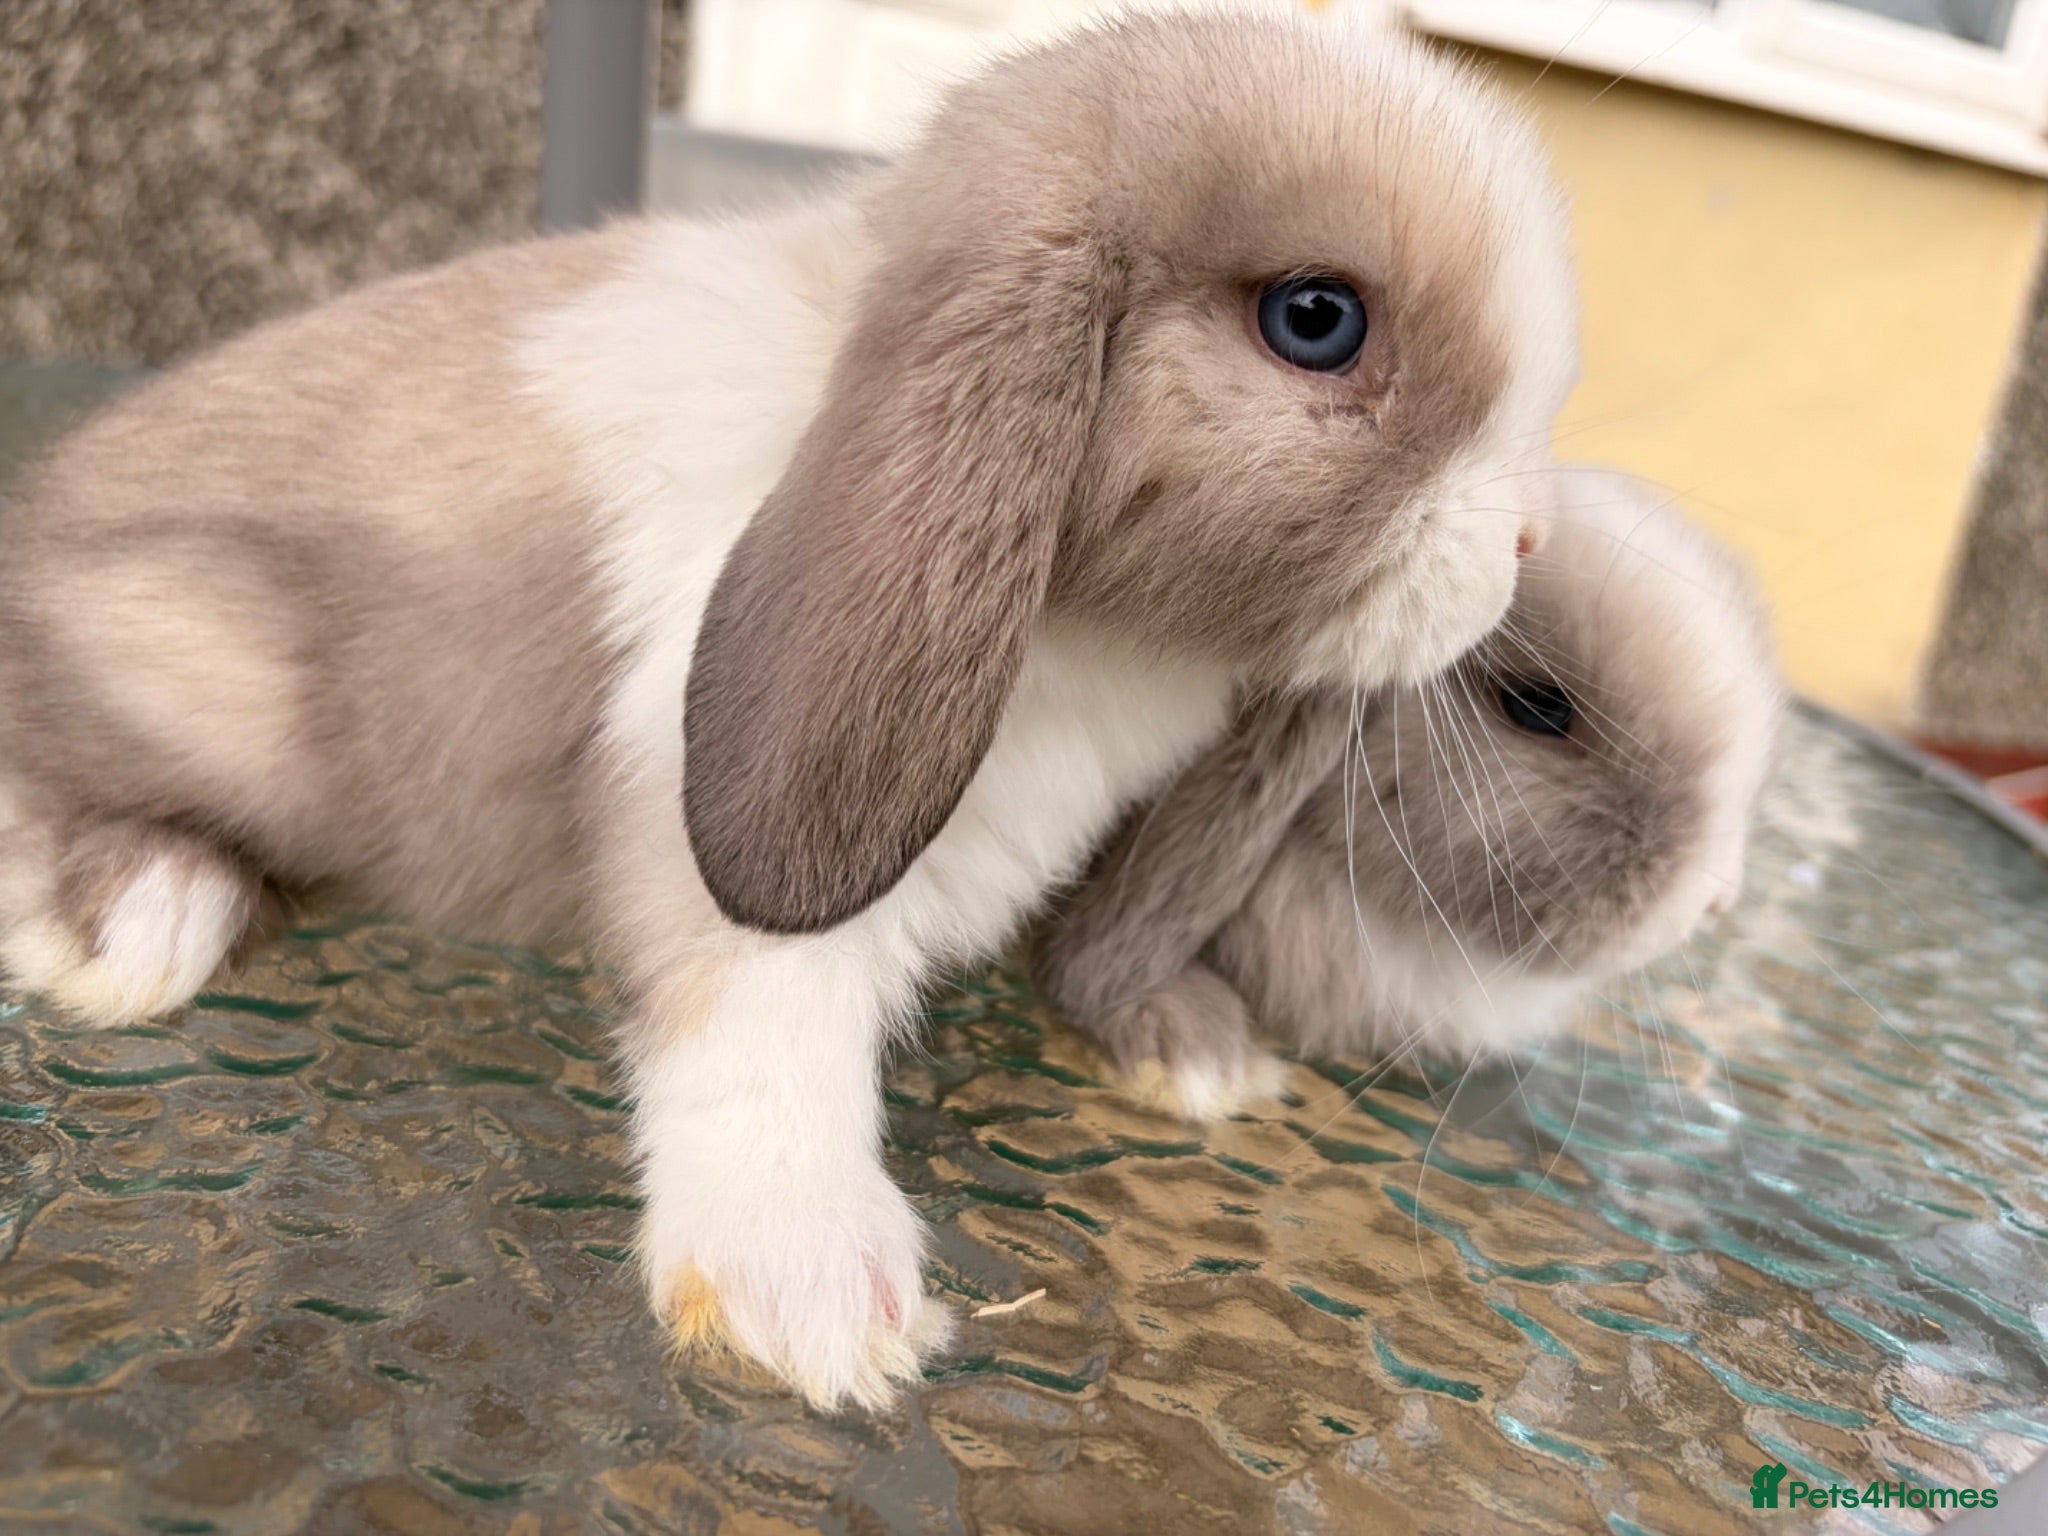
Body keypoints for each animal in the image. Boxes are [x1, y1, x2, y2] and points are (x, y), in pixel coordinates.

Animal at [0, 13, 1580, 1408]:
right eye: (1316, 321)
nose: (1524, 546)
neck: (1082, 628)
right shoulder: (707, 823)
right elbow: (760, 1020)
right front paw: (807, 1296)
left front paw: (1202, 1058)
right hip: (197, 674)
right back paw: (129, 921)